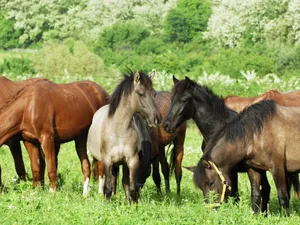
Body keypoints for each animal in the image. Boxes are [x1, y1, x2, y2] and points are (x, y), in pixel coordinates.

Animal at [87, 70, 162, 202]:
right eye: (141, 93)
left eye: (154, 93)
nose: (157, 119)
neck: (119, 131)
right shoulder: (107, 161)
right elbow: (107, 188)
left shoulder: (132, 161)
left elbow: (131, 187)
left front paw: (133, 204)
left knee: (124, 182)